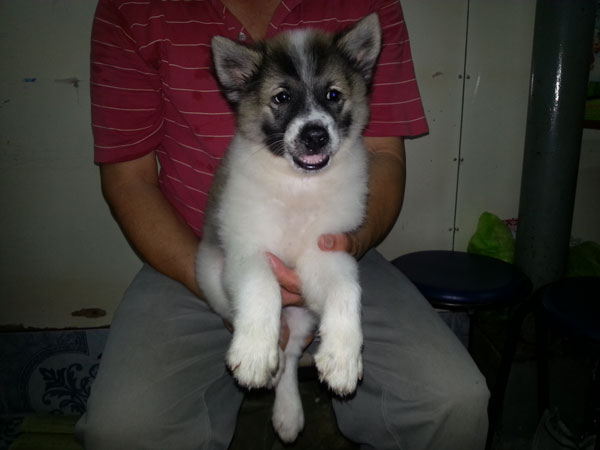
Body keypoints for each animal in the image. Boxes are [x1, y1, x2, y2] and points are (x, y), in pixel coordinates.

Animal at [195, 13, 381, 442]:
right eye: (281, 98)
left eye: (333, 95)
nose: (315, 135)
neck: (299, 186)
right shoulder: (246, 250)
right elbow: (262, 287)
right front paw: (253, 352)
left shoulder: (326, 251)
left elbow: (347, 290)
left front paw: (344, 356)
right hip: (212, 276)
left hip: (302, 317)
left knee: (292, 354)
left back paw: (288, 409)